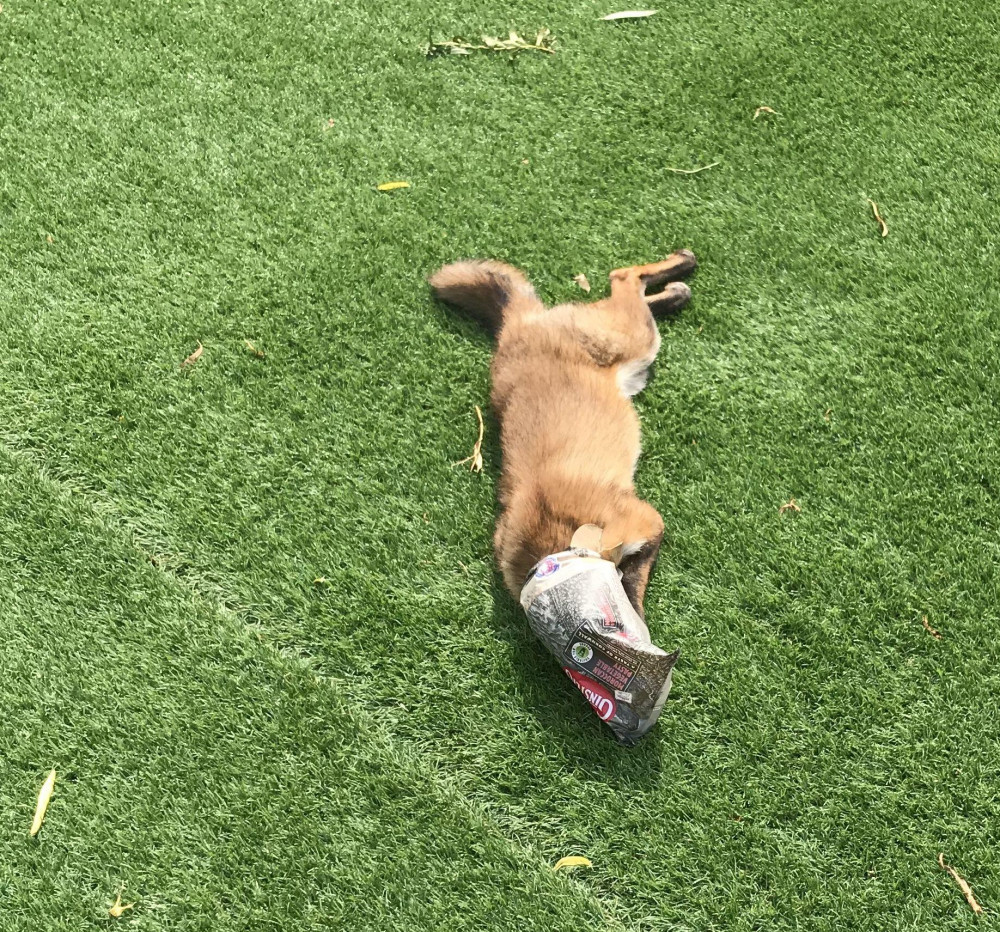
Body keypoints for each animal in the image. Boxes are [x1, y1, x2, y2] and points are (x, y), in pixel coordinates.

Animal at [428, 251, 696, 624]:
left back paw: (683, 264)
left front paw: (638, 621)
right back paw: (676, 291)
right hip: (633, 343)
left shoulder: (647, 522)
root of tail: (515, 324)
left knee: (624, 276)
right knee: (630, 286)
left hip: (635, 339)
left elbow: (632, 584)